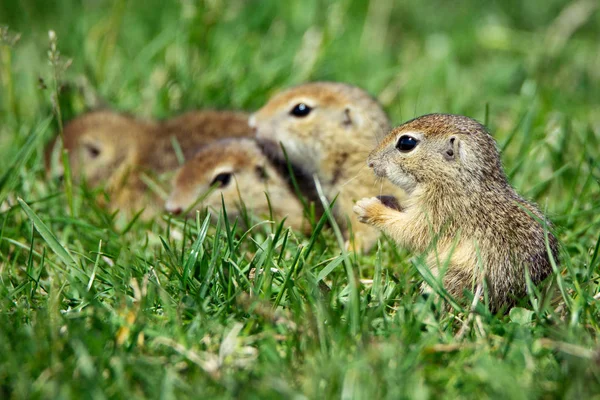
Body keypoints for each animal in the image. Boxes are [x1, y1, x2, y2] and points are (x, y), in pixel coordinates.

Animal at [354, 114, 560, 310]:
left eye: (406, 143)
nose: (370, 161)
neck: (459, 179)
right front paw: (386, 200)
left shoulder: (441, 212)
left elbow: (411, 232)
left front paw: (368, 208)